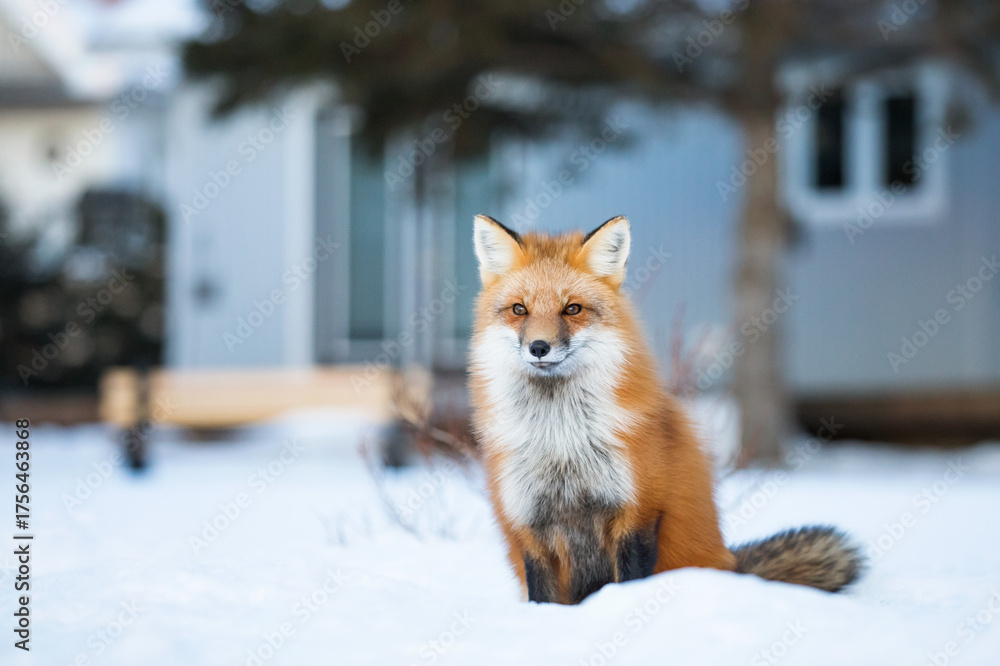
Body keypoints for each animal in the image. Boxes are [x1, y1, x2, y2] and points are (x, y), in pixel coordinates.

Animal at [468, 214, 863, 605]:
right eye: (519, 309)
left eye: (572, 309)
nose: (539, 347)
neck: (561, 440)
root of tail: (731, 562)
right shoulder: (528, 524)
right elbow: (542, 597)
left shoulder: (639, 510)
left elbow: (630, 580)